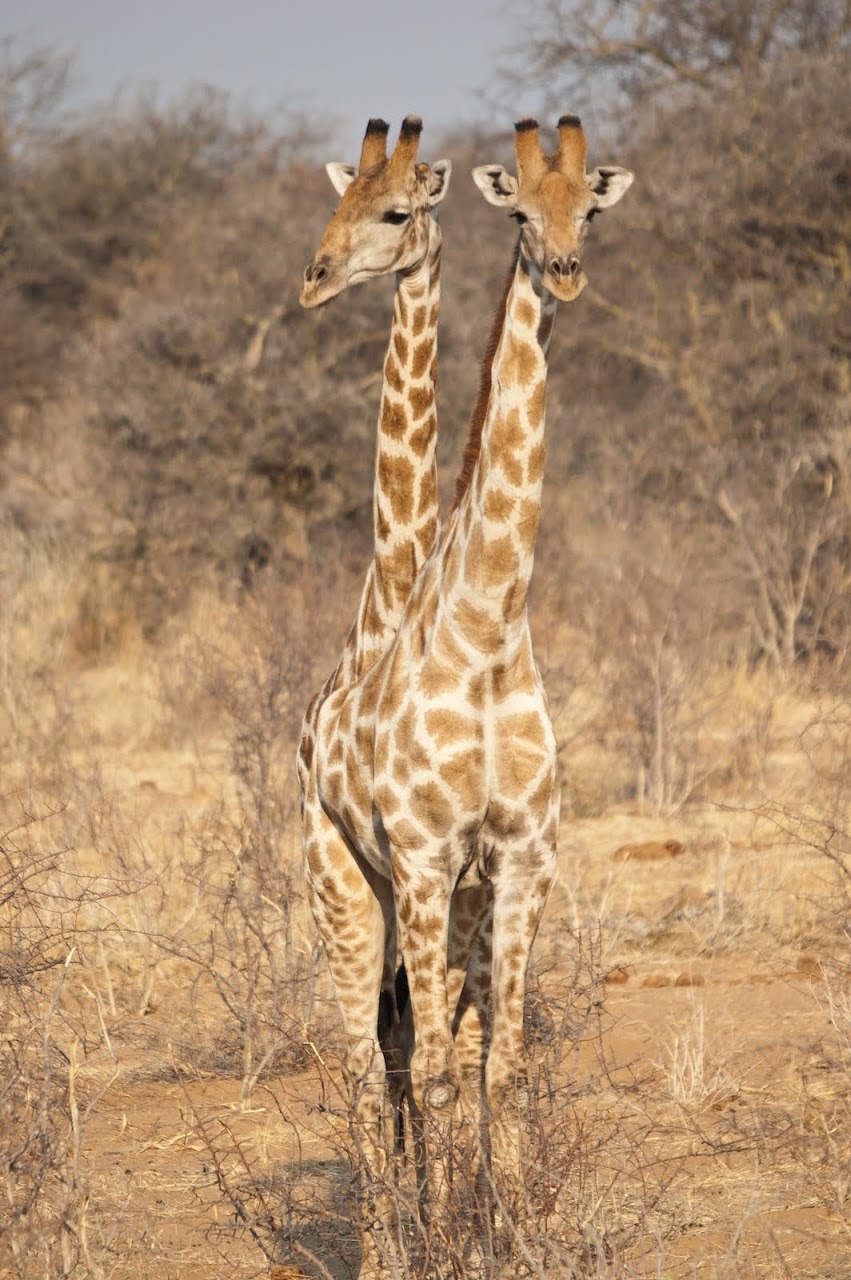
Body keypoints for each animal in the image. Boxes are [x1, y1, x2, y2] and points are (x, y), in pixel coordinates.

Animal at [301, 115, 633, 1276]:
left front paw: (513, 1241)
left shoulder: (523, 858)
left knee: (409, 1052)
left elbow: (502, 1068)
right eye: (520, 213)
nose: (313, 277)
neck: (486, 628)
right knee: (366, 1063)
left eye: (589, 207)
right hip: (343, 888)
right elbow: (440, 1074)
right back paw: (383, 1247)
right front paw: (443, 1243)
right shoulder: (424, 856)